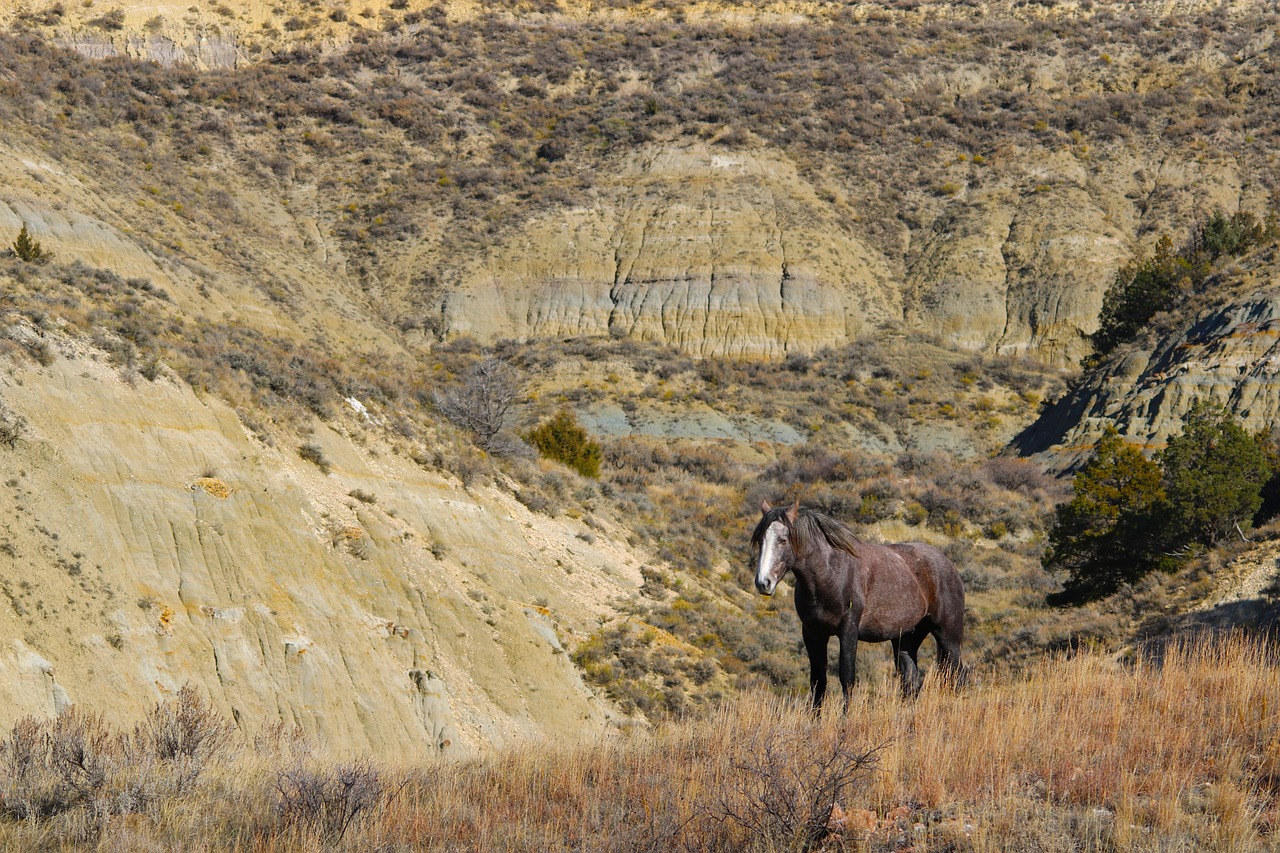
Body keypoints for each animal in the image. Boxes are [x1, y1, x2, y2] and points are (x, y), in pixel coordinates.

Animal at [750, 499, 965, 707]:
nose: (763, 582)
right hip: (906, 640)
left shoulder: (848, 631)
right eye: (760, 540)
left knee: (955, 677)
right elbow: (818, 682)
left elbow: (847, 678)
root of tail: (948, 564)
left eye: (783, 540)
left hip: (948, 638)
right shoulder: (813, 633)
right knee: (910, 683)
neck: (831, 573)